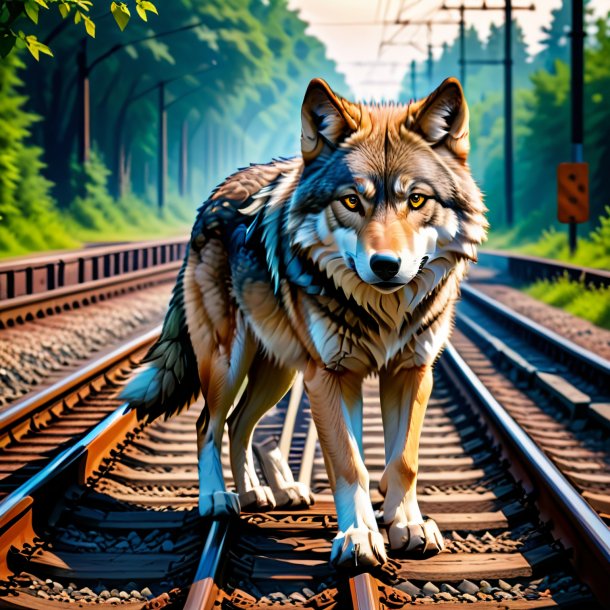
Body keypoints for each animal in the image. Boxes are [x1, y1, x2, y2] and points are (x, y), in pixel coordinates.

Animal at [122, 76, 484, 564]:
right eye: (351, 200)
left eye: (416, 200)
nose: (385, 265)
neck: (382, 309)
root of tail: (215, 194)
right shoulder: (330, 376)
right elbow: (351, 463)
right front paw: (359, 537)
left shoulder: (411, 371)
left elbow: (403, 461)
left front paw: (406, 525)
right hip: (230, 363)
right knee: (208, 425)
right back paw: (217, 498)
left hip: (280, 373)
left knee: (239, 424)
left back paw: (264, 493)